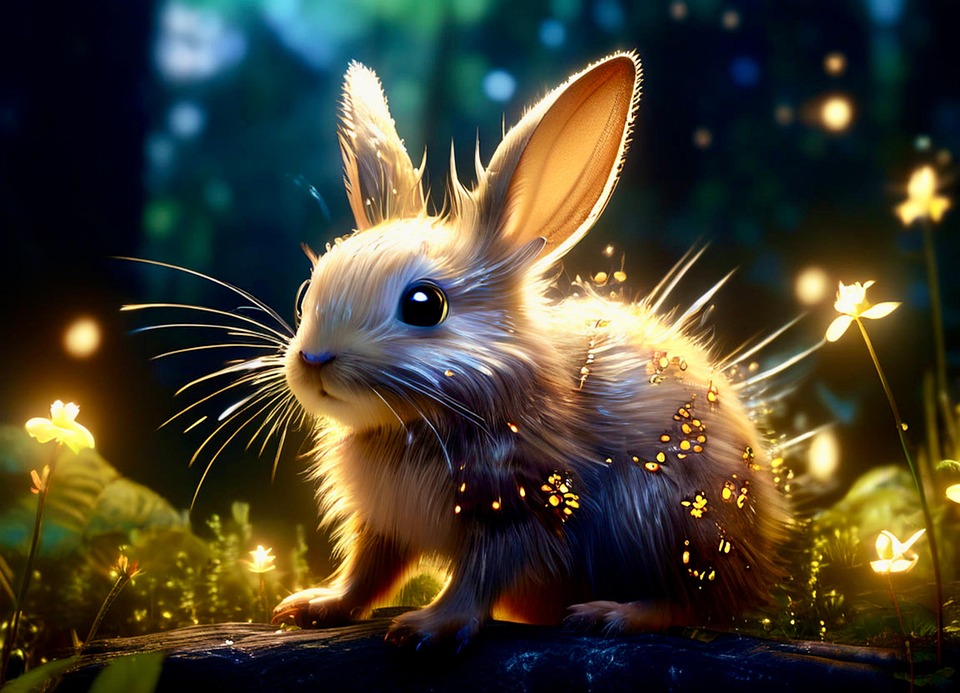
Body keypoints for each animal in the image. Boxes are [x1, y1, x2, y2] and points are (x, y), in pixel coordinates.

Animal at [270, 51, 792, 650]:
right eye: (310, 289)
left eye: (425, 305)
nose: (313, 361)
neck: (424, 419)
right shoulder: (384, 523)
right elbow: (367, 572)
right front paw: (314, 605)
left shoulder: (521, 505)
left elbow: (479, 576)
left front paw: (429, 628)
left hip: (665, 521)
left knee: (690, 602)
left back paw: (612, 614)